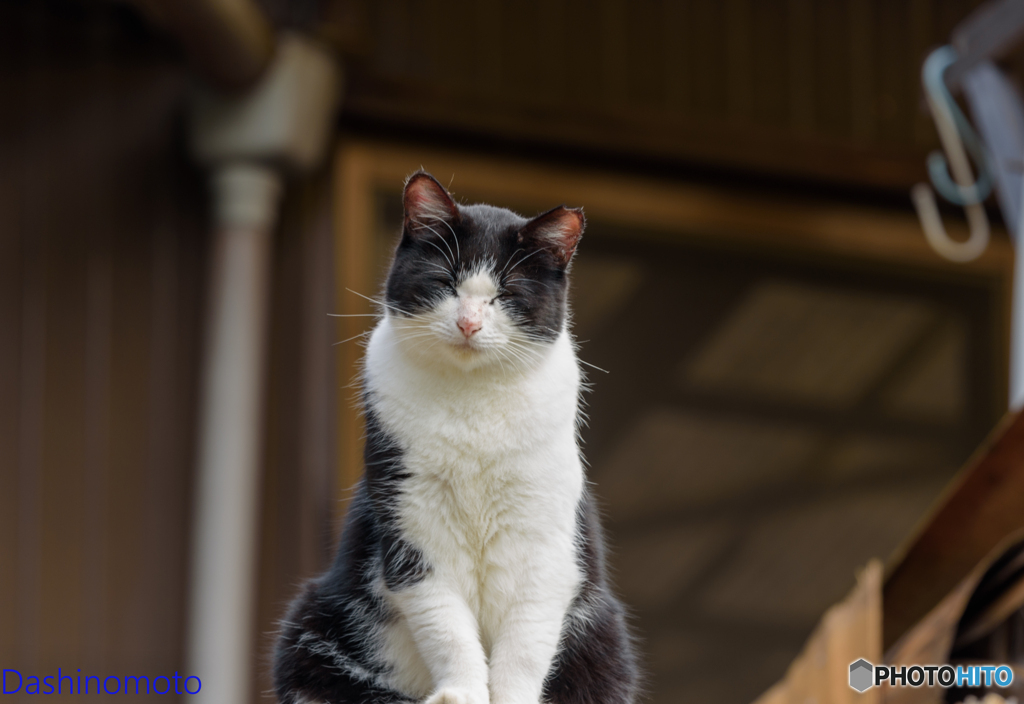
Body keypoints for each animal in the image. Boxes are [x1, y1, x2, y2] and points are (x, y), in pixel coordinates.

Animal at [272, 170, 638, 704]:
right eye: (445, 282)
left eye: (505, 295)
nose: (469, 322)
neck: (473, 404)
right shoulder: (412, 523)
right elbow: (444, 624)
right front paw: (461, 692)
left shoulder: (543, 539)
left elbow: (526, 637)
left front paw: (511, 697)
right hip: (308, 624)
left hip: (607, 642)